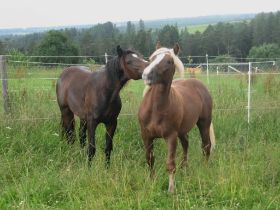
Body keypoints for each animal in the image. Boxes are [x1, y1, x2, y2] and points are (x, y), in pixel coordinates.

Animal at [137, 42, 214, 192]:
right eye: (152, 58)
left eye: (169, 61)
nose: (146, 75)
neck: (156, 109)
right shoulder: (146, 135)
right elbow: (150, 159)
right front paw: (151, 182)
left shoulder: (171, 137)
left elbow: (170, 164)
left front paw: (171, 189)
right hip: (183, 131)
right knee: (186, 144)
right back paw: (184, 168)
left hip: (204, 123)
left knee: (206, 146)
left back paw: (205, 169)